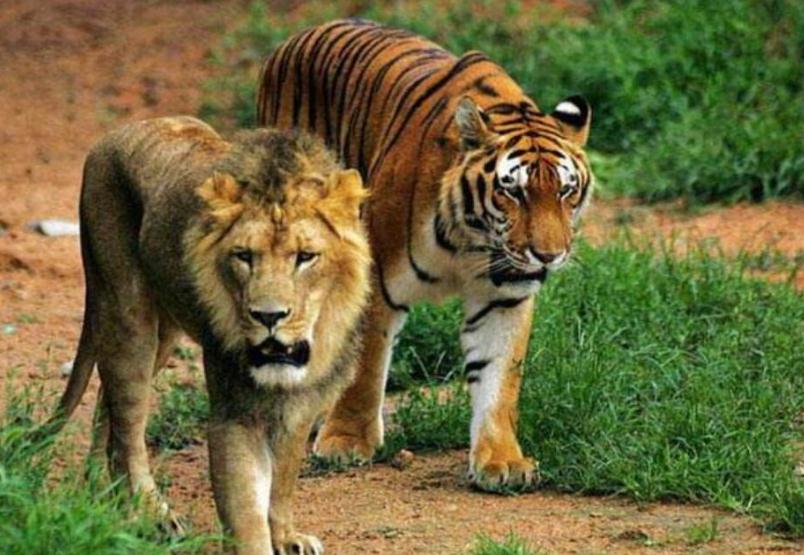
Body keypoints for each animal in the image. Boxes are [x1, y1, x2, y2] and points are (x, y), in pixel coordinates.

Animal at [257, 18, 593, 490]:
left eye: (566, 191)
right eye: (513, 191)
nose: (549, 255)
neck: (473, 238)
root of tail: (294, 39)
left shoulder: (505, 295)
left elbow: (499, 376)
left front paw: (502, 461)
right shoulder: (378, 279)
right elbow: (366, 365)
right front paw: (346, 441)